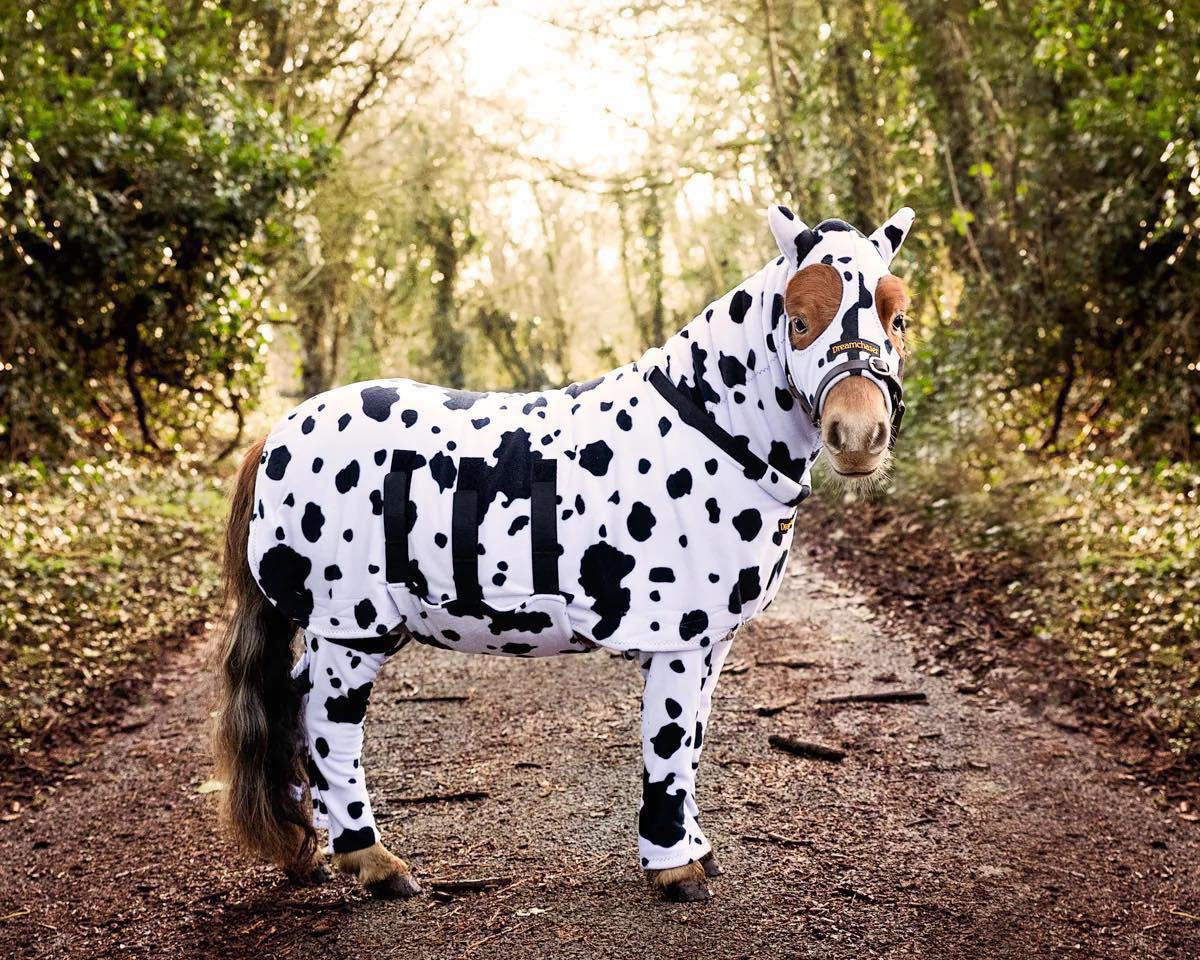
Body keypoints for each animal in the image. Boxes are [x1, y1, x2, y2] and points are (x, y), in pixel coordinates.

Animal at [213, 204, 916, 903]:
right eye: (799, 321)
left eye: (897, 318)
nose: (859, 434)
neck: (703, 432)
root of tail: (273, 435)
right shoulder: (676, 641)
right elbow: (668, 745)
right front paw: (674, 867)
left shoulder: (712, 642)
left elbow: (692, 742)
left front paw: (696, 850)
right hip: (350, 631)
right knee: (327, 730)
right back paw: (374, 863)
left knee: (294, 714)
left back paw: (313, 852)